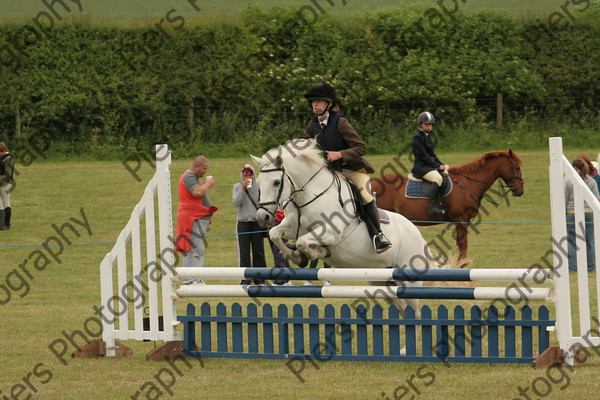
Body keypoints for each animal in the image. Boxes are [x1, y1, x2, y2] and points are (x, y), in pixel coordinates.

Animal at [250, 139, 450, 318]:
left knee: (415, 311)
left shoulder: (330, 232)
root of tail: (417, 235)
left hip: (408, 280)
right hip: (381, 280)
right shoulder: (292, 225)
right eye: (259, 182)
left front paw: (315, 253)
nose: (262, 217)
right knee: (401, 308)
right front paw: (297, 257)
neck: (309, 195)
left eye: (276, 182)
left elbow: (302, 242)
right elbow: (275, 233)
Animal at [372, 149, 524, 260]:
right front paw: (462, 264)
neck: (468, 184)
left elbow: (460, 244)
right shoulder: (461, 219)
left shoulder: (463, 221)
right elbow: (463, 245)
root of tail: (373, 183)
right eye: (516, 168)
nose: (520, 191)